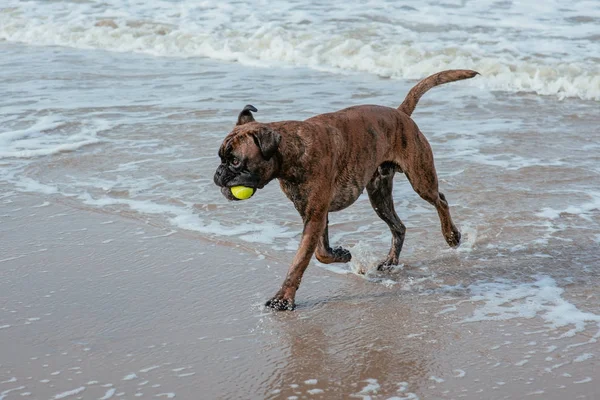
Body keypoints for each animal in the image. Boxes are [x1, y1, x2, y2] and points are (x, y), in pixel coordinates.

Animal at [214, 70, 478, 310]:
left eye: (235, 161)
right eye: (221, 157)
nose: (218, 173)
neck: (292, 150)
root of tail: (401, 113)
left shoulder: (315, 217)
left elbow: (300, 261)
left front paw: (283, 299)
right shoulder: (316, 216)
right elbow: (321, 251)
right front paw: (340, 254)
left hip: (421, 180)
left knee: (440, 200)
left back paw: (451, 235)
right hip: (379, 197)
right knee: (399, 227)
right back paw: (391, 261)